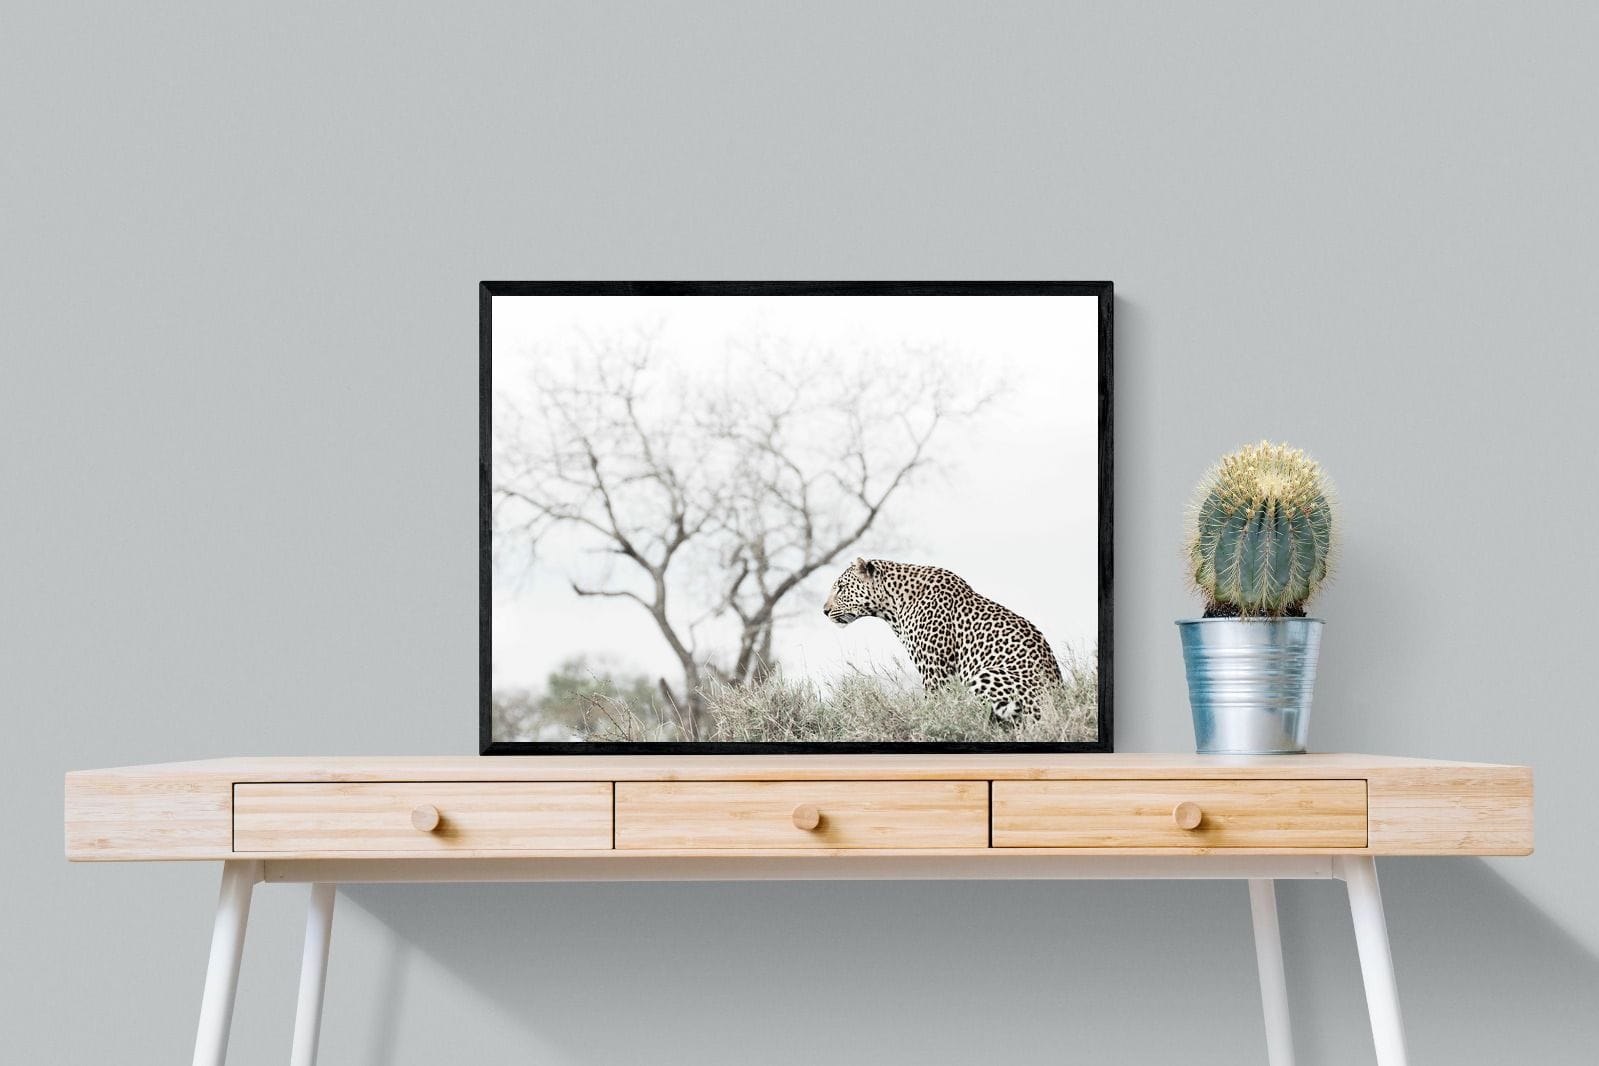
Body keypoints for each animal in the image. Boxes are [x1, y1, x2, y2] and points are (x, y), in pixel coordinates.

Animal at [822, 557, 1063, 721]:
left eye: (841, 588)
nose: (824, 611)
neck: (892, 604)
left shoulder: (935, 670)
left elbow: (934, 705)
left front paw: (928, 721)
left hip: (987, 674)